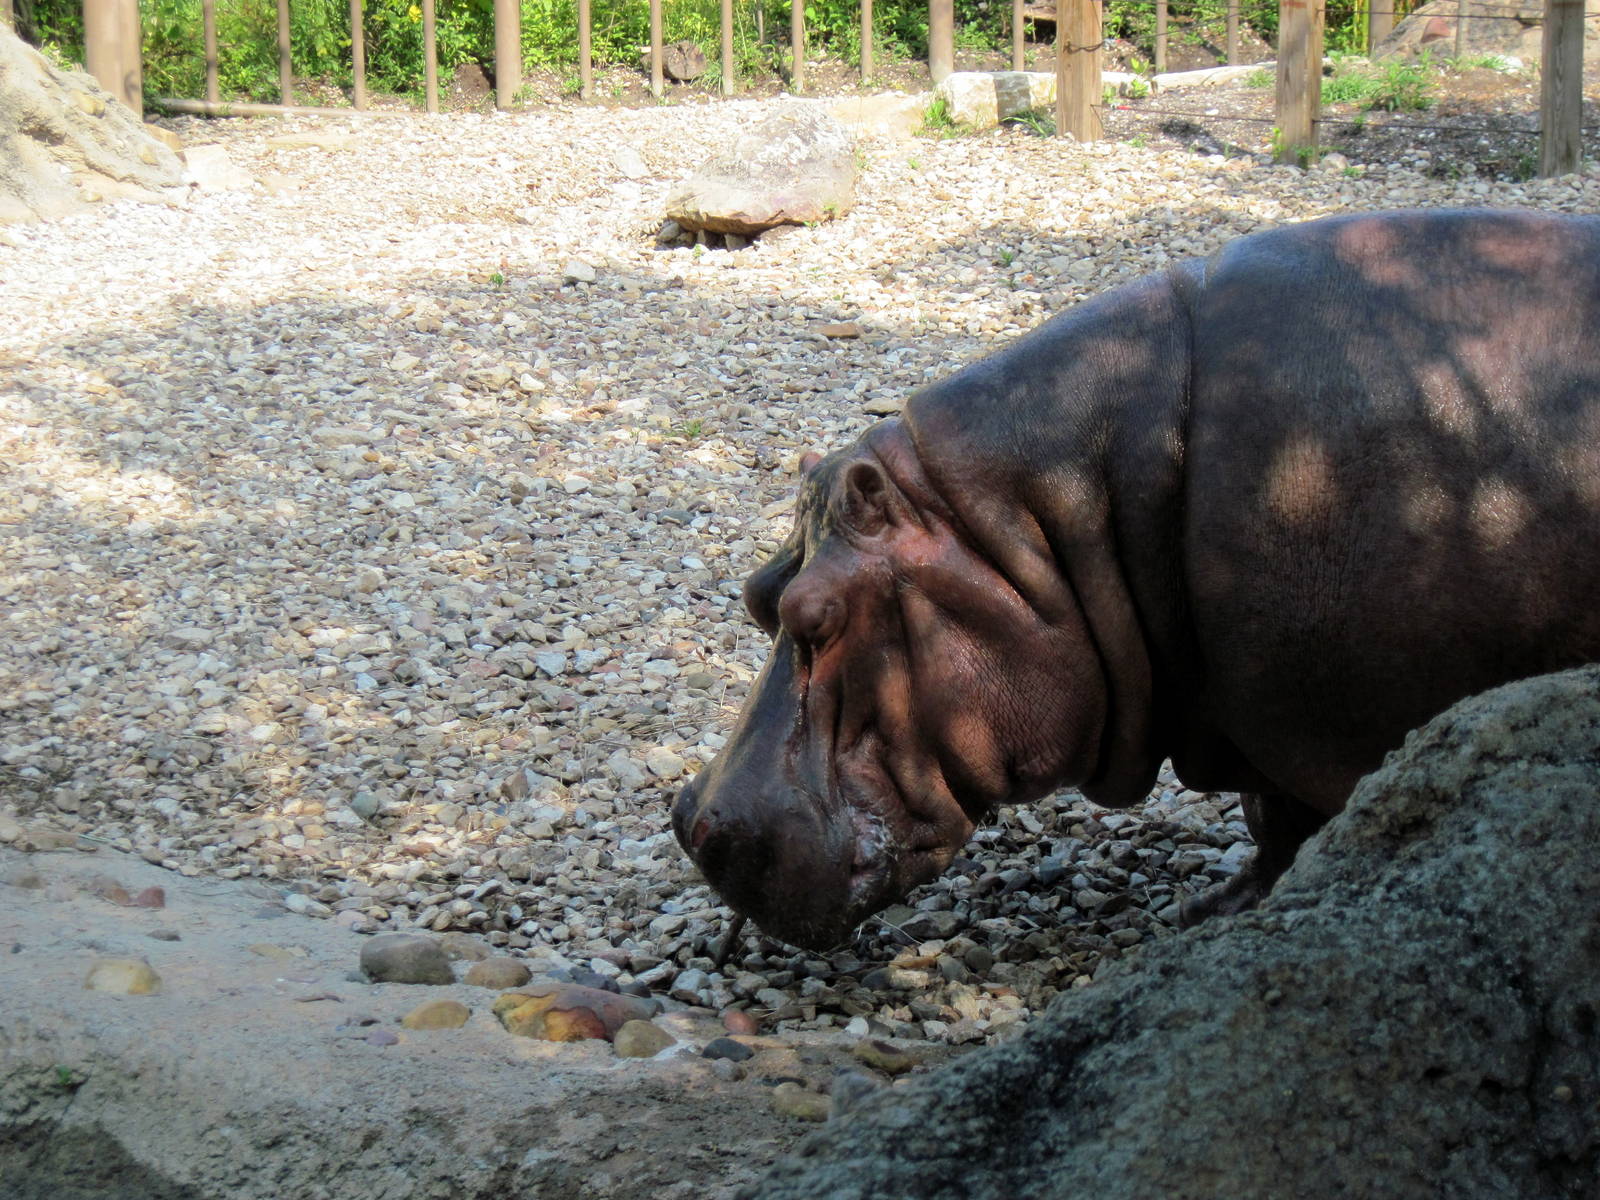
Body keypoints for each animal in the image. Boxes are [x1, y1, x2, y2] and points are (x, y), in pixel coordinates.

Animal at [671, 208, 1600, 951]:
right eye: (757, 593)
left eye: (816, 616)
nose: (689, 820)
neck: (1046, 522)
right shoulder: (1252, 714)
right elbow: (1271, 819)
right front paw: (1214, 911)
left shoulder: (1316, 726)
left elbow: (1293, 819)